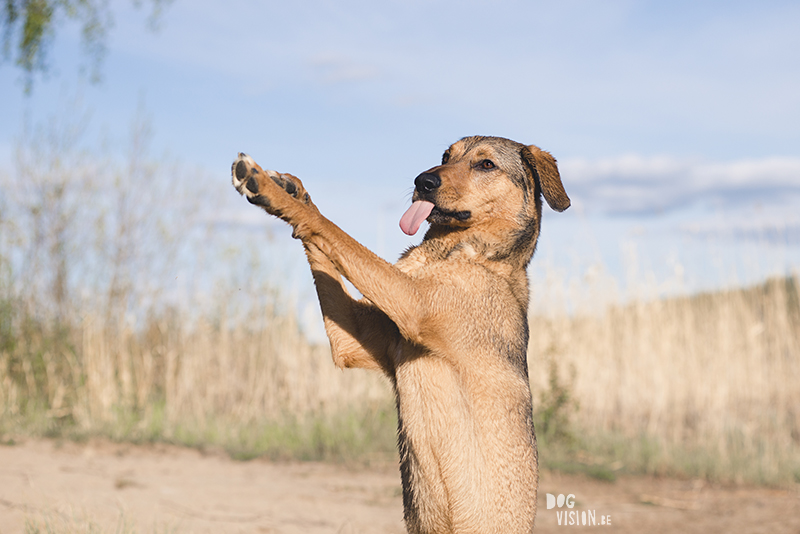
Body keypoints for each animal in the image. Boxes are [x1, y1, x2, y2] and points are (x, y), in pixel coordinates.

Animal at [230, 136, 568, 532]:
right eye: (445, 155)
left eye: (486, 164)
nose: (423, 181)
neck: (466, 254)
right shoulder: (352, 339)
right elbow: (326, 243)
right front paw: (293, 190)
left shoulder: (411, 302)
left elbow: (335, 232)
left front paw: (263, 186)